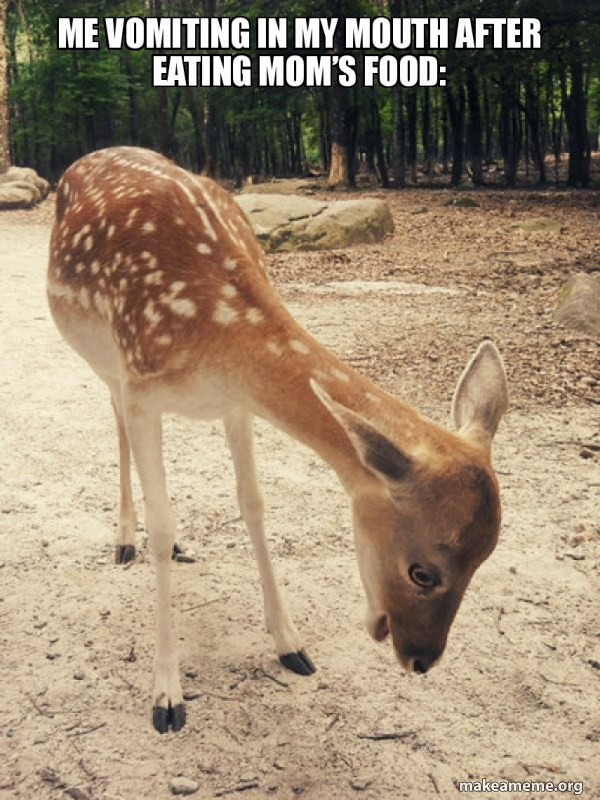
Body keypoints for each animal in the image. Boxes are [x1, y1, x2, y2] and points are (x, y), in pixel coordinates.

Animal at [47, 146, 508, 734]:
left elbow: (254, 504)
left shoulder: (237, 404)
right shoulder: (140, 388)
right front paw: (167, 695)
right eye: (422, 571)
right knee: (116, 425)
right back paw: (125, 539)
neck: (213, 333)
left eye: (485, 559)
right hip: (104, 362)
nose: (421, 659)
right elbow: (163, 518)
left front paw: (291, 645)